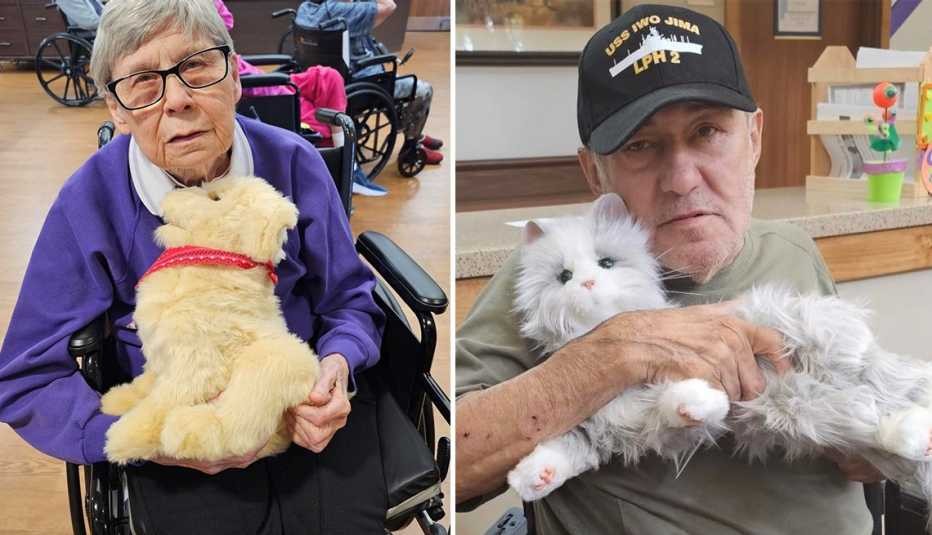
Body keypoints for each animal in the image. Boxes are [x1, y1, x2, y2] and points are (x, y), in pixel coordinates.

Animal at [510, 193, 932, 516]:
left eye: (607, 263)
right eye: (563, 277)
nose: (586, 283)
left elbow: (689, 396)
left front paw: (698, 401)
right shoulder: (605, 427)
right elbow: (563, 450)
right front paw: (531, 479)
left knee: (880, 401)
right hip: (810, 412)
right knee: (878, 422)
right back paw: (918, 434)